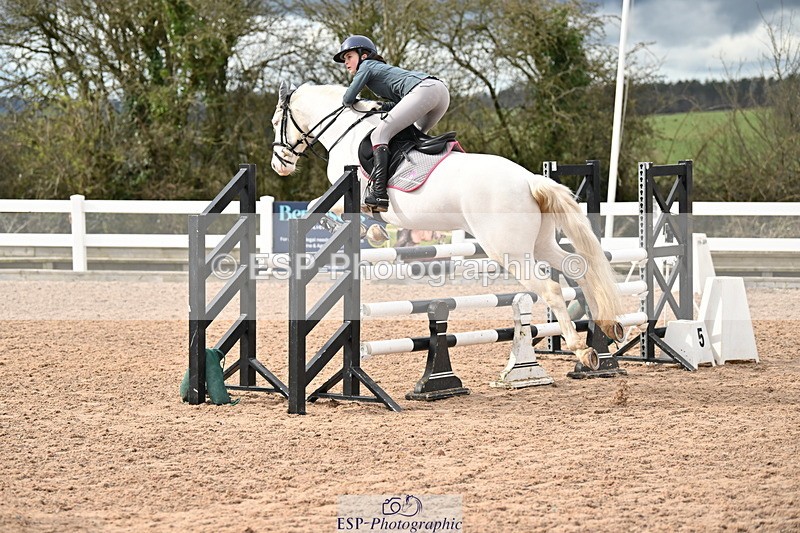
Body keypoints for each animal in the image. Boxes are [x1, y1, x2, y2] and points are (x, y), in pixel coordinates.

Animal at [270, 82, 625, 369]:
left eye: (275, 123)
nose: (278, 165)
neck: (346, 131)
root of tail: (529, 180)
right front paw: (373, 231)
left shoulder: (350, 192)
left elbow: (319, 207)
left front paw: (368, 230)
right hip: (540, 243)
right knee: (578, 267)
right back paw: (608, 326)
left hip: (508, 252)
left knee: (550, 288)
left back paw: (581, 349)